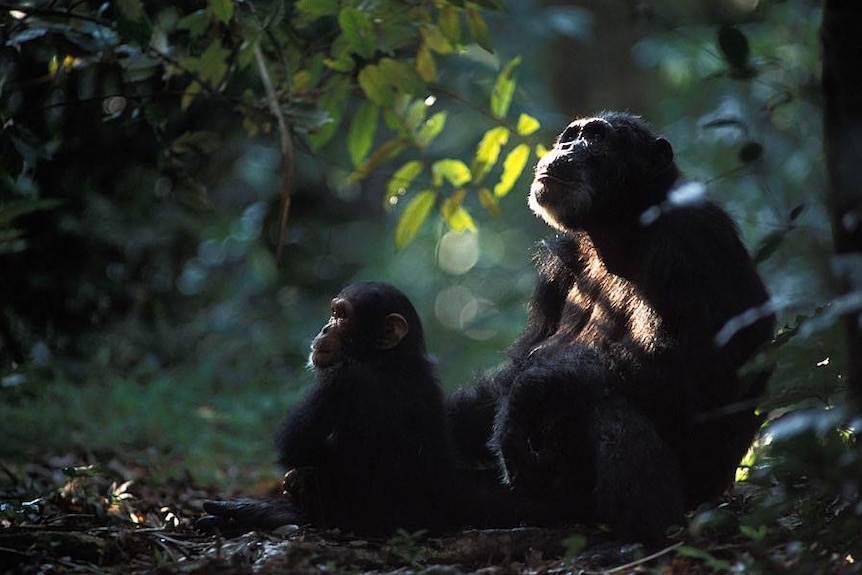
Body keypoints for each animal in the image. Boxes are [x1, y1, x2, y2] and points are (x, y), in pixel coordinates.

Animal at [199, 282, 462, 536]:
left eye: (342, 316)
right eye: (333, 313)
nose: (325, 328)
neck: (387, 357)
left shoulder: (340, 378)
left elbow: (294, 445)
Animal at [446, 112, 776, 544]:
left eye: (597, 137)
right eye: (571, 136)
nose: (567, 148)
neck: (616, 229)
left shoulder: (693, 239)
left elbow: (698, 365)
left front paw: (526, 396)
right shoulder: (558, 263)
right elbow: (519, 362)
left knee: (605, 400)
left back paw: (650, 532)